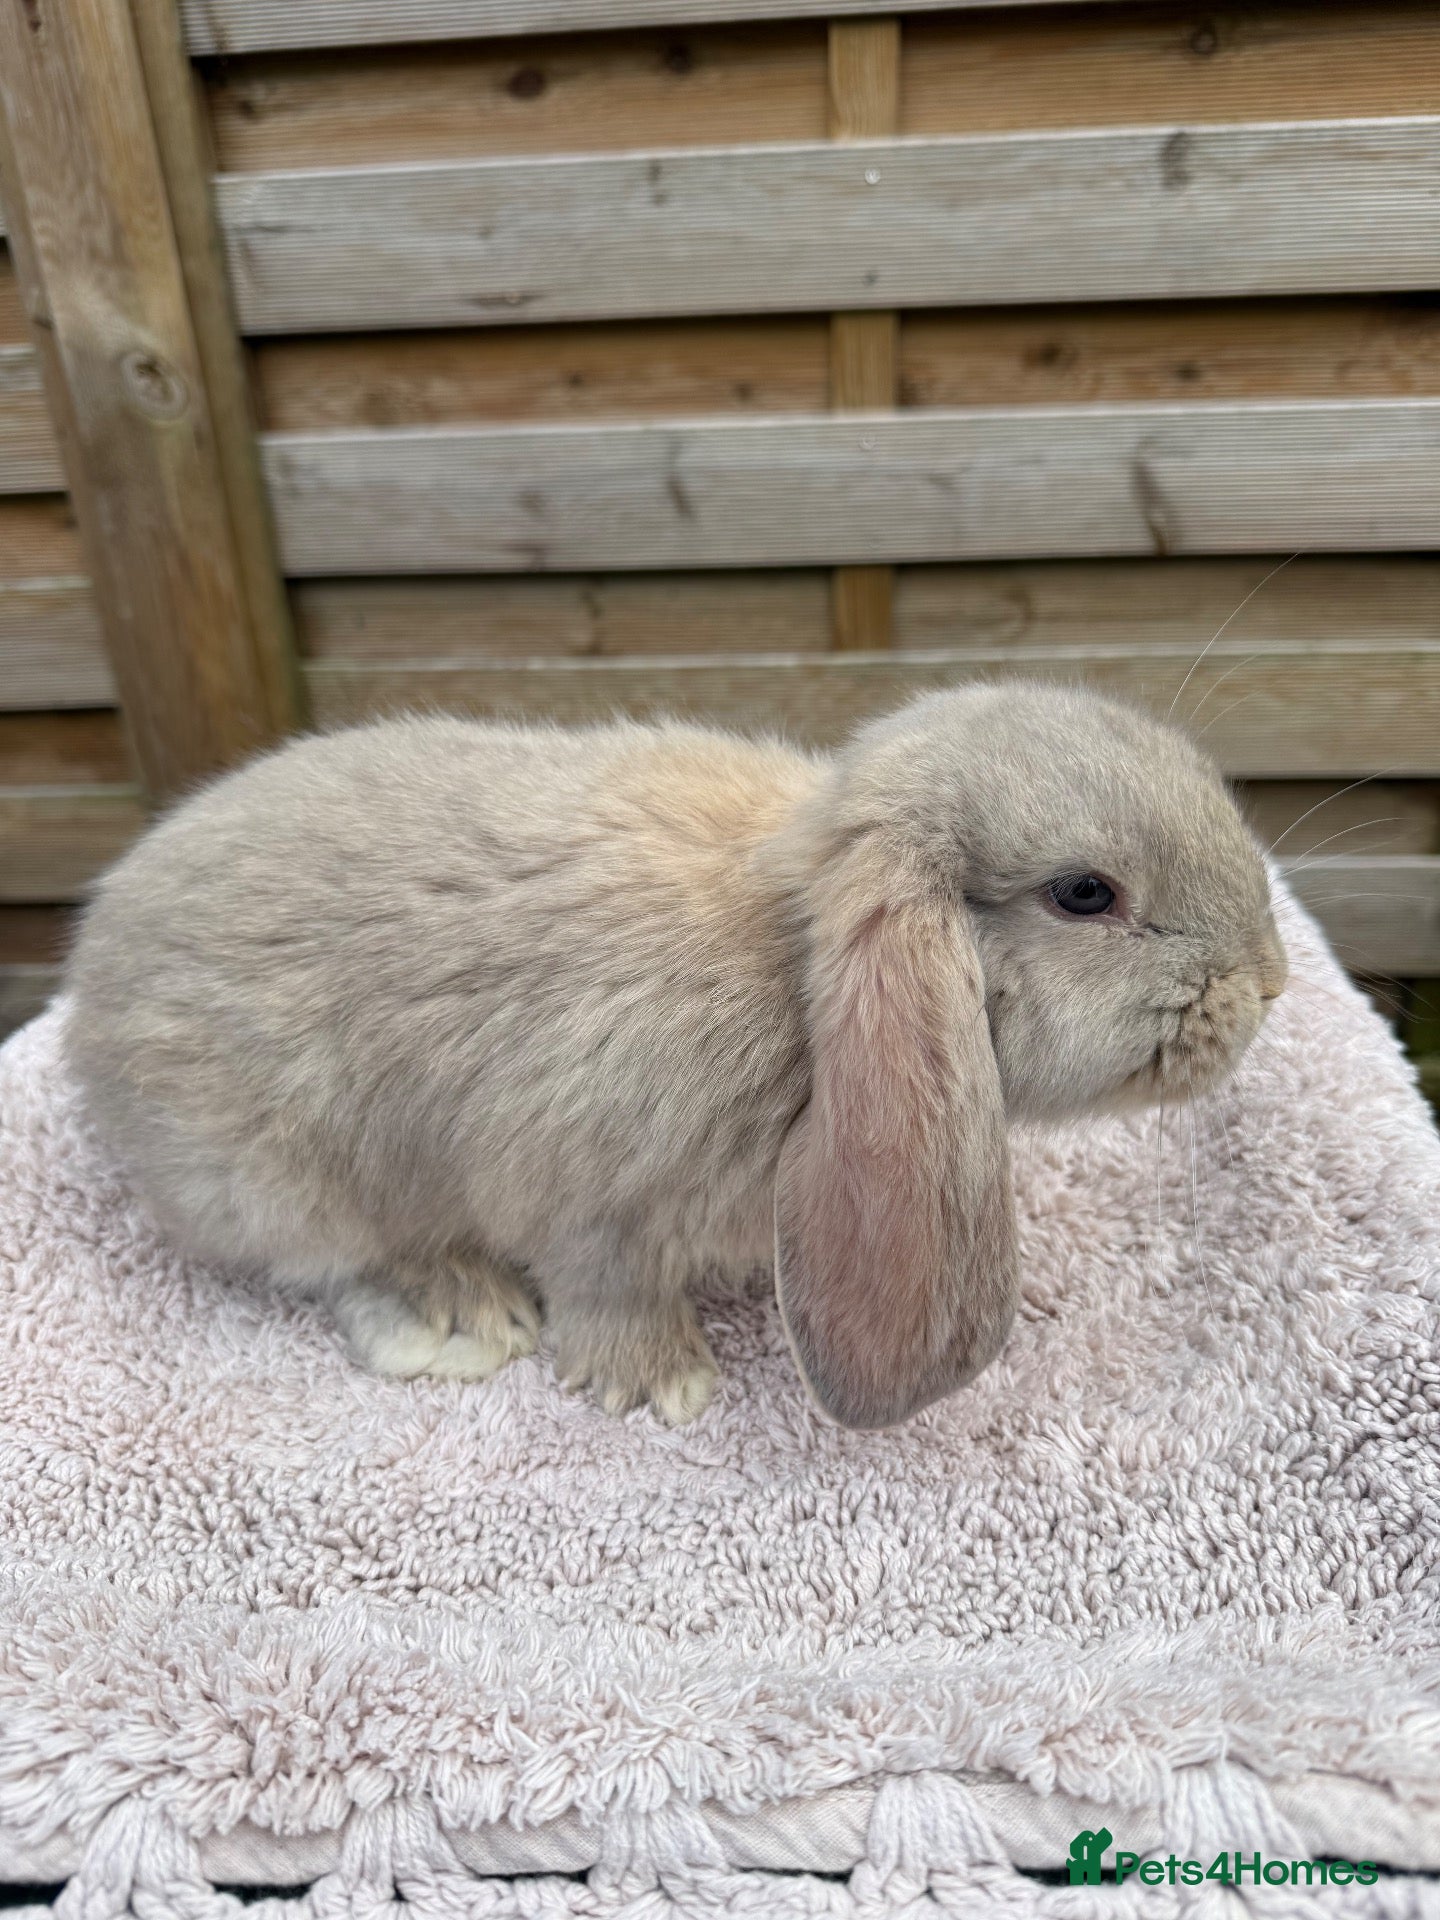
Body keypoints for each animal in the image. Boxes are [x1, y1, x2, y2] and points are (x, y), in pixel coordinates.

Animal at [62, 681, 1287, 1430]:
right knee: (332, 1258)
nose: (1270, 983)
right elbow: (606, 1288)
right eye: (1085, 894)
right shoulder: (596, 1194)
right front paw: (663, 1385)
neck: (797, 967)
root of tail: (90, 981)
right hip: (274, 1173)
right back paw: (460, 1314)